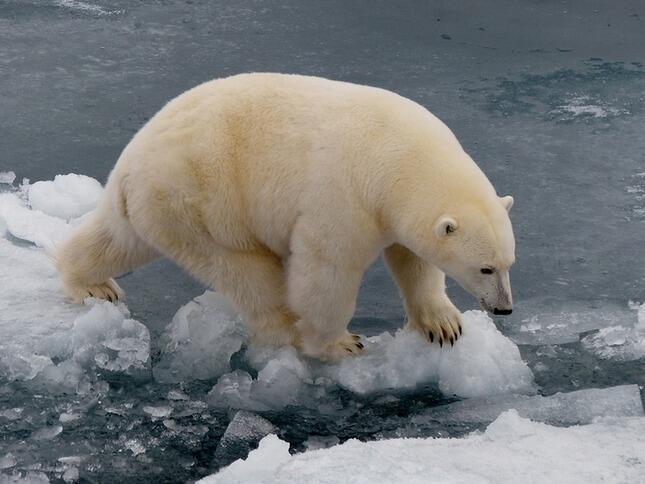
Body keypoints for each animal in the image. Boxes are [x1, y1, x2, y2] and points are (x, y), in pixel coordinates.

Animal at [54, 72, 512, 360]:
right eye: (486, 268)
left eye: (508, 263)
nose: (504, 309)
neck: (400, 158)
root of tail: (130, 165)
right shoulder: (343, 196)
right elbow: (326, 270)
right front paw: (337, 344)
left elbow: (413, 259)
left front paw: (444, 326)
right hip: (202, 204)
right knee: (246, 272)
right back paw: (286, 331)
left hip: (155, 204)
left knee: (118, 239)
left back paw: (93, 283)